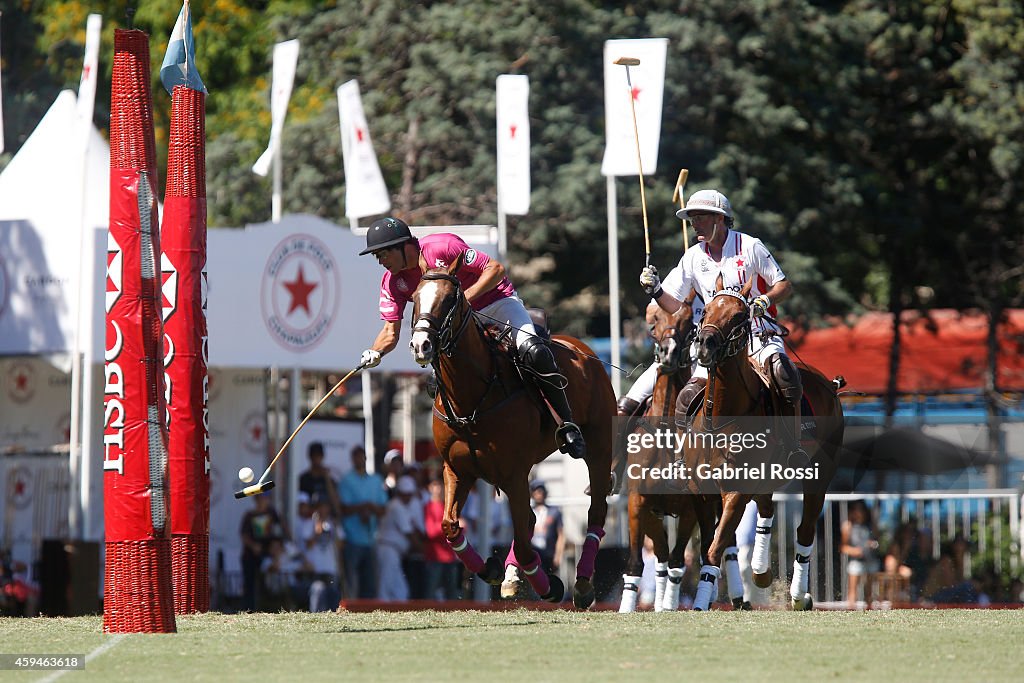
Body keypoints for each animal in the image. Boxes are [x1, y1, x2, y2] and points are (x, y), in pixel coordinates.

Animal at [407, 255, 614, 610]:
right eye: (415, 299)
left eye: (449, 300)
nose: (421, 345)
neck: (470, 397)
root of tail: (582, 347)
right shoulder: (458, 469)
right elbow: (450, 526)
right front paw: (491, 570)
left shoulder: (514, 472)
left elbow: (526, 541)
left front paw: (549, 585)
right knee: (529, 520)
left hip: (599, 445)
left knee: (595, 510)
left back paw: (583, 584)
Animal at [684, 280, 843, 610]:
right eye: (705, 310)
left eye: (739, 315)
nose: (705, 344)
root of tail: (830, 386)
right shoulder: (700, 493)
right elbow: (710, 546)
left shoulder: (735, 493)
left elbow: (715, 548)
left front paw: (700, 603)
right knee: (768, 511)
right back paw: (760, 572)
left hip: (821, 472)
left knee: (805, 531)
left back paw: (798, 595)